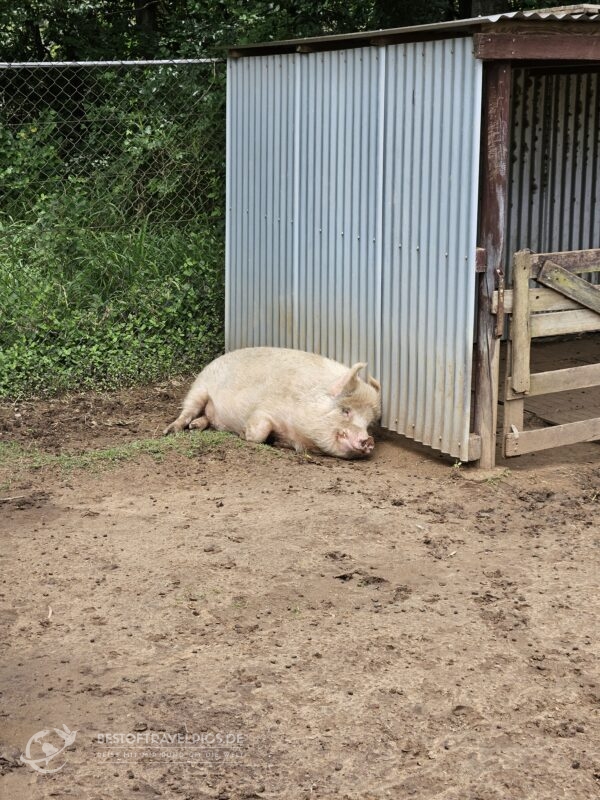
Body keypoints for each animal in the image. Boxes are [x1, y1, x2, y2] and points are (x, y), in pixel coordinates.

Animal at [164, 347, 381, 459]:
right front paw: (244, 434)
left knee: (205, 418)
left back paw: (195, 426)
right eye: (345, 411)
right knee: (188, 411)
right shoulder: (264, 410)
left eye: (368, 423)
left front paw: (277, 442)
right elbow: (259, 431)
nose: (368, 440)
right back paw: (171, 430)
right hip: (199, 389)